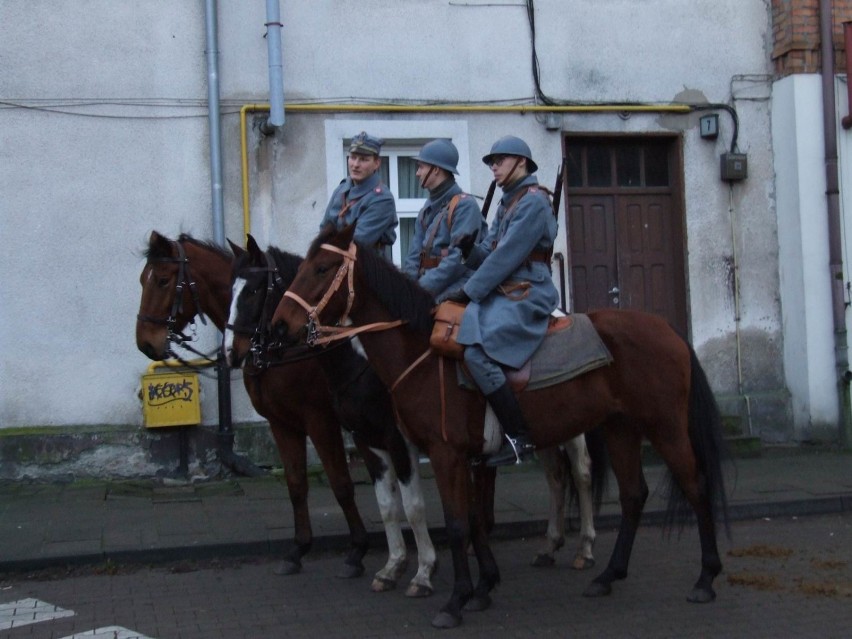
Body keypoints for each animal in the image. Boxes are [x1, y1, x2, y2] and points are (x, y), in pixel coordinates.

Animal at [137, 230, 440, 596]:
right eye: (144, 280)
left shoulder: (322, 421)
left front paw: (356, 551)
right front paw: (298, 550)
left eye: (163, 280)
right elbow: (296, 484)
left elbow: (341, 484)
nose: (145, 343)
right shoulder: (282, 424)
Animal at [272, 224, 732, 632]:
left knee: (693, 487)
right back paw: (607, 576)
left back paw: (705, 578)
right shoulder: (455, 457)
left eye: (321, 269)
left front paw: (453, 600)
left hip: (665, 428)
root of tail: (667, 329)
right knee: (633, 495)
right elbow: (474, 520)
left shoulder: (443, 454)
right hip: (621, 429)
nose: (278, 327)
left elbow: (456, 524)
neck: (420, 353)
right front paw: (481, 589)